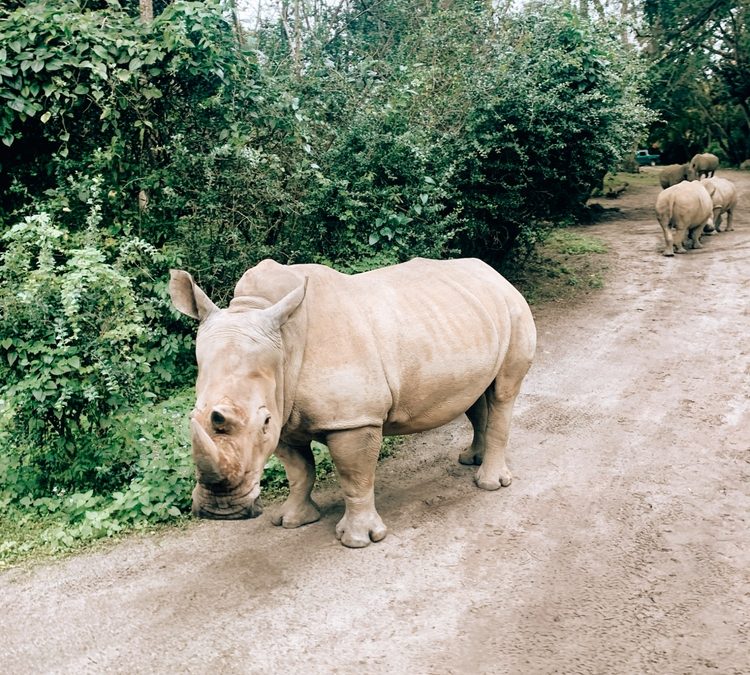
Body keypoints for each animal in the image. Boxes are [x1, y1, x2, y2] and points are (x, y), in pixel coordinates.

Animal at [169, 258, 536, 548]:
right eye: (193, 416)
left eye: (264, 423)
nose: (222, 511)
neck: (284, 343)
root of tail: (493, 272)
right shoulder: (284, 410)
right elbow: (299, 471)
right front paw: (292, 521)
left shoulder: (353, 419)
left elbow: (354, 475)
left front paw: (358, 540)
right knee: (476, 396)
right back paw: (471, 460)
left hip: (514, 309)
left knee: (503, 393)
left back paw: (489, 483)